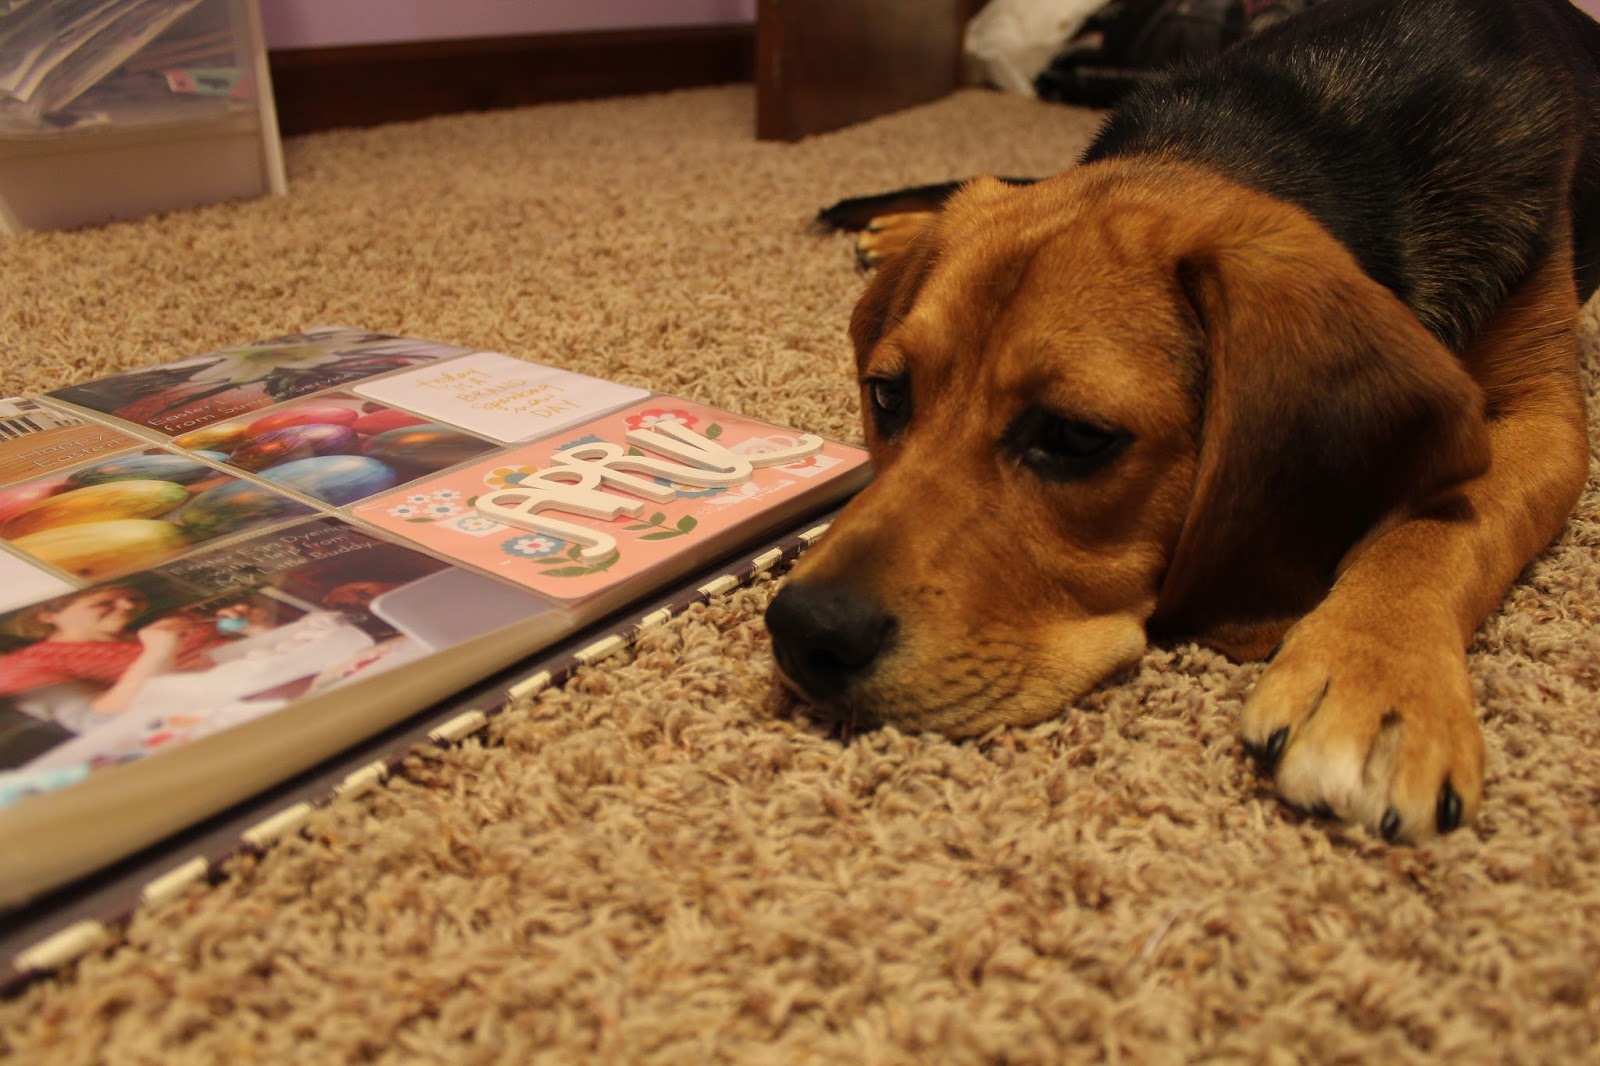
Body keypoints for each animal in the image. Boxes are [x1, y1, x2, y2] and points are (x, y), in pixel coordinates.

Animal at [765, 0, 1599, 842]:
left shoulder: (1544, 418)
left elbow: (1443, 528)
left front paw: (1377, 675)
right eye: (888, 396)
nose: (803, 630)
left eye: (1075, 437)